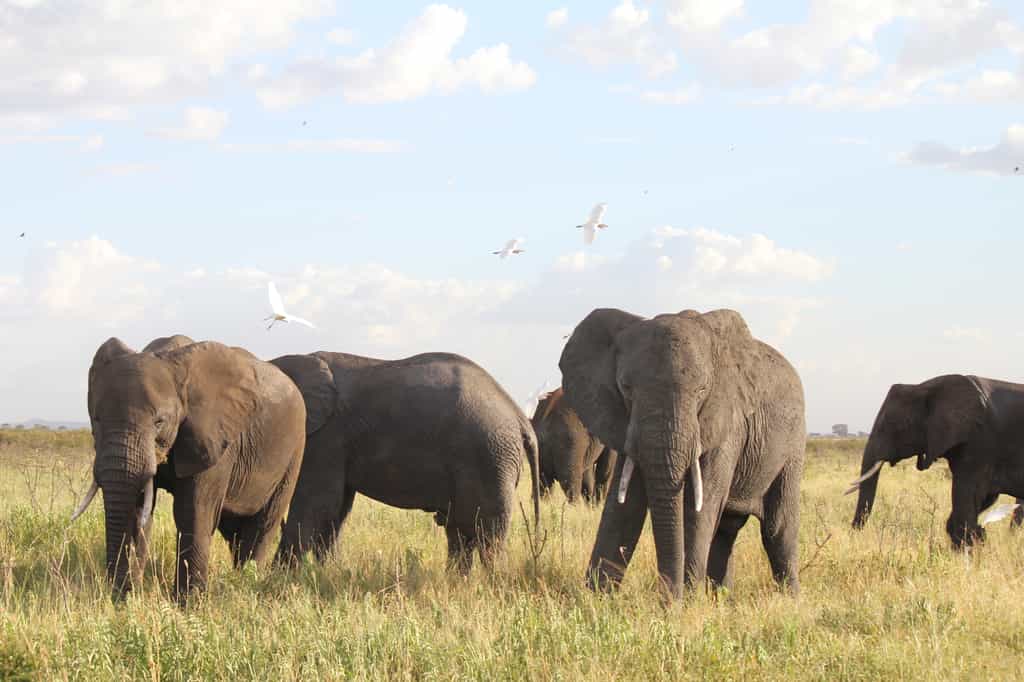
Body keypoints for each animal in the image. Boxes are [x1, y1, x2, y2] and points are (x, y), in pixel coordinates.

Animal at [72, 335, 306, 601]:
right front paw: (131, 599)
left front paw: (188, 604)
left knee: (264, 523)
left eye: (159, 422)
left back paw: (245, 585)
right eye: (97, 419)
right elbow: (138, 509)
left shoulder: (215, 440)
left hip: (295, 451)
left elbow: (193, 511)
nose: (120, 596)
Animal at [270, 351, 540, 573]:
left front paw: (277, 581)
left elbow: (315, 504)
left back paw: (493, 582)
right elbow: (335, 510)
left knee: (485, 531)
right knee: (461, 532)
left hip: (489, 455)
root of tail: (519, 416)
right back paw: (457, 582)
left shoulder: (327, 436)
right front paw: (328, 575)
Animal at [559, 308, 806, 599]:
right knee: (726, 530)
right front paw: (595, 598)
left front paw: (686, 601)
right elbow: (624, 506)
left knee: (777, 529)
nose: (667, 599)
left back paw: (791, 600)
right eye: (625, 388)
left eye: (702, 390)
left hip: (793, 445)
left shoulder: (727, 420)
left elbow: (699, 506)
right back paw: (722, 599)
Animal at [848, 374, 1024, 546]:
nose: (854, 533)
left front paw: (969, 545)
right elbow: (982, 498)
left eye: (895, 425)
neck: (925, 388)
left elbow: (968, 494)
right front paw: (975, 539)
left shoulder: (979, 441)